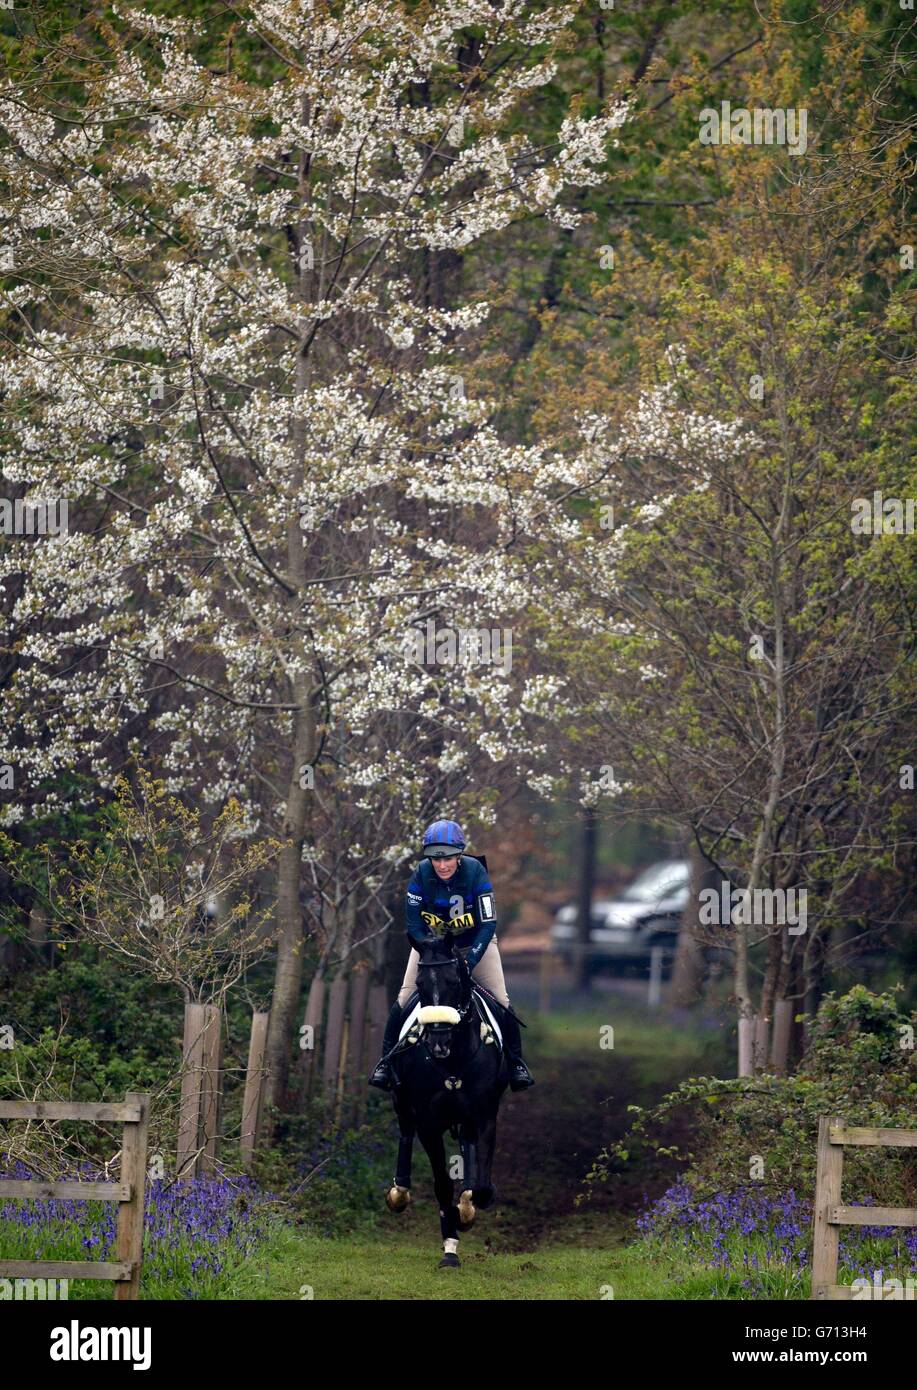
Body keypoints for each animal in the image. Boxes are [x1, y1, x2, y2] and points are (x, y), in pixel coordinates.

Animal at [383, 934, 511, 1273]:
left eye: (454, 981)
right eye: (420, 983)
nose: (438, 1042)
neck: (453, 1059)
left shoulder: (484, 1115)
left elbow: (481, 1185)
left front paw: (467, 1210)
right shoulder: (428, 1124)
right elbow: (442, 1185)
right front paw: (450, 1248)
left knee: (467, 1147)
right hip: (402, 1103)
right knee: (404, 1134)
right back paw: (399, 1194)